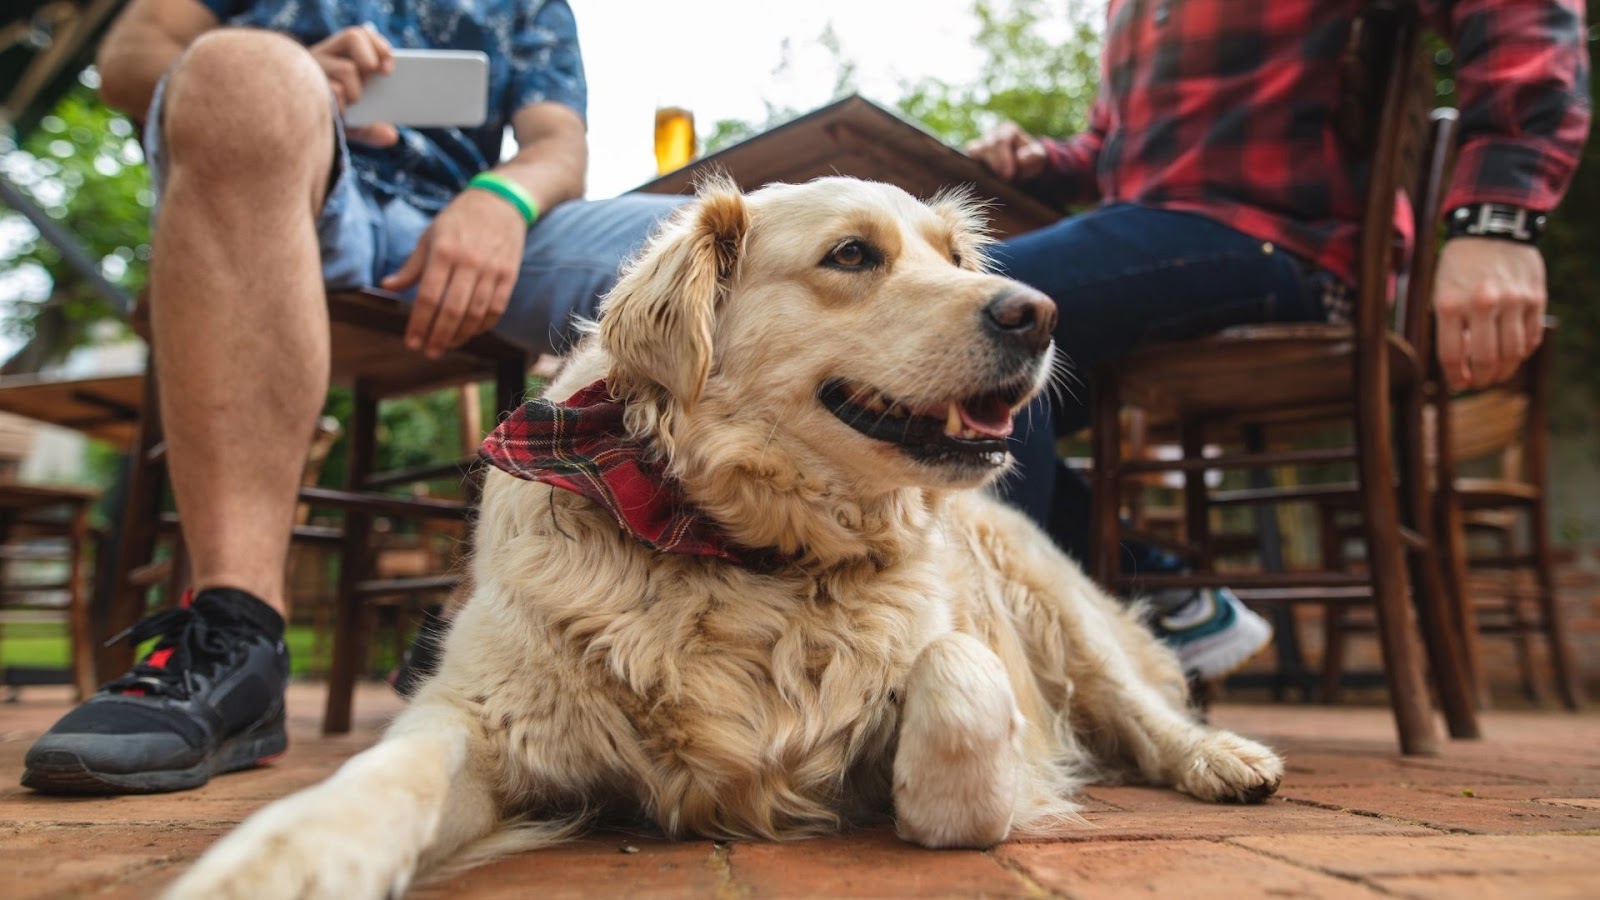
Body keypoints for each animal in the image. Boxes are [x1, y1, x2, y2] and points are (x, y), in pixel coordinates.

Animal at [168, 176, 1280, 896]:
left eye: (956, 257)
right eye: (852, 255)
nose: (1040, 314)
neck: (748, 553)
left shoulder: (963, 660)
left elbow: (958, 683)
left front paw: (947, 792)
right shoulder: (482, 715)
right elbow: (377, 779)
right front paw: (283, 863)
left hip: (1055, 605)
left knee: (1142, 709)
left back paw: (1221, 757)